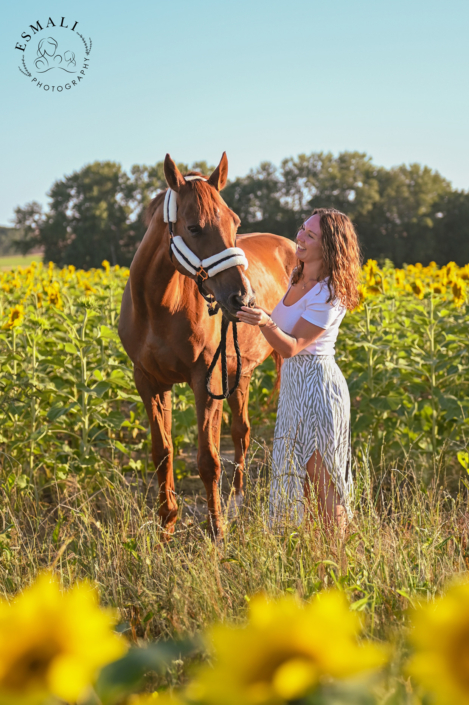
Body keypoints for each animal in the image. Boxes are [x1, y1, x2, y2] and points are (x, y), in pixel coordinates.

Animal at [119, 153, 294, 532]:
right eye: (194, 227)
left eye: (235, 221)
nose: (243, 298)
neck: (159, 309)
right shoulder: (149, 381)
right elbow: (163, 453)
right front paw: (166, 525)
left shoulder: (205, 380)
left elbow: (208, 459)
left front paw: (217, 530)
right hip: (239, 371)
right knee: (240, 431)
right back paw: (237, 497)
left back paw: (239, 500)